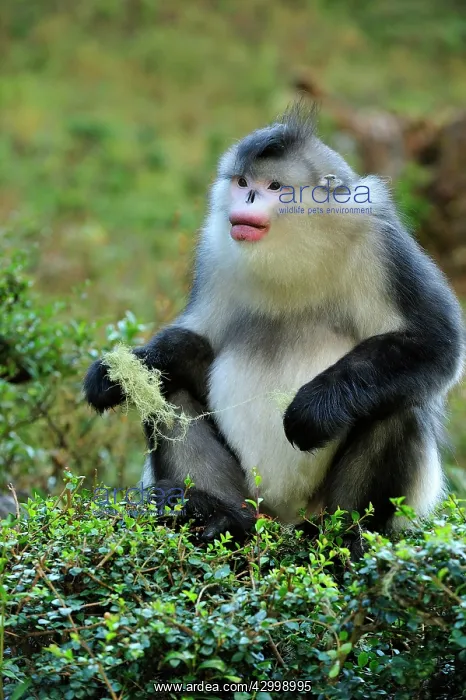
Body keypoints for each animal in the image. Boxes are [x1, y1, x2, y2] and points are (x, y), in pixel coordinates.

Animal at [84, 103, 465, 547]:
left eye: (274, 186)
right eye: (243, 182)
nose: (247, 198)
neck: (295, 250)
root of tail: (280, 517)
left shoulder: (382, 245)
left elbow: (436, 342)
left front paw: (317, 407)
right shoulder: (215, 248)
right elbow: (194, 342)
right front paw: (118, 370)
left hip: (327, 503)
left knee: (401, 404)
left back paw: (344, 536)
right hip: (247, 494)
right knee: (168, 389)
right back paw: (218, 516)